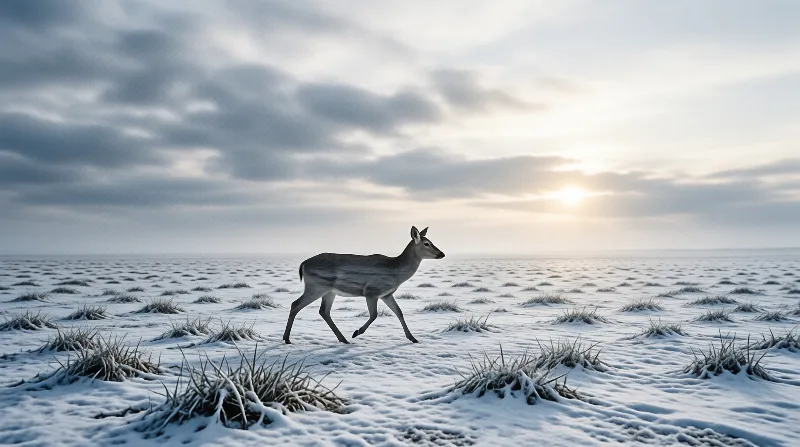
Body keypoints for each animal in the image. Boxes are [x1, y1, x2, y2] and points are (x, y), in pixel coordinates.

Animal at [282, 226, 445, 344]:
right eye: (426, 243)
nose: (441, 254)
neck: (395, 272)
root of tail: (303, 264)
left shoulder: (387, 294)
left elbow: (399, 312)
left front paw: (413, 338)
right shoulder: (371, 291)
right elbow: (374, 315)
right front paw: (357, 332)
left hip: (329, 291)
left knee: (324, 311)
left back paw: (343, 339)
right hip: (317, 286)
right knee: (296, 304)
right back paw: (287, 339)